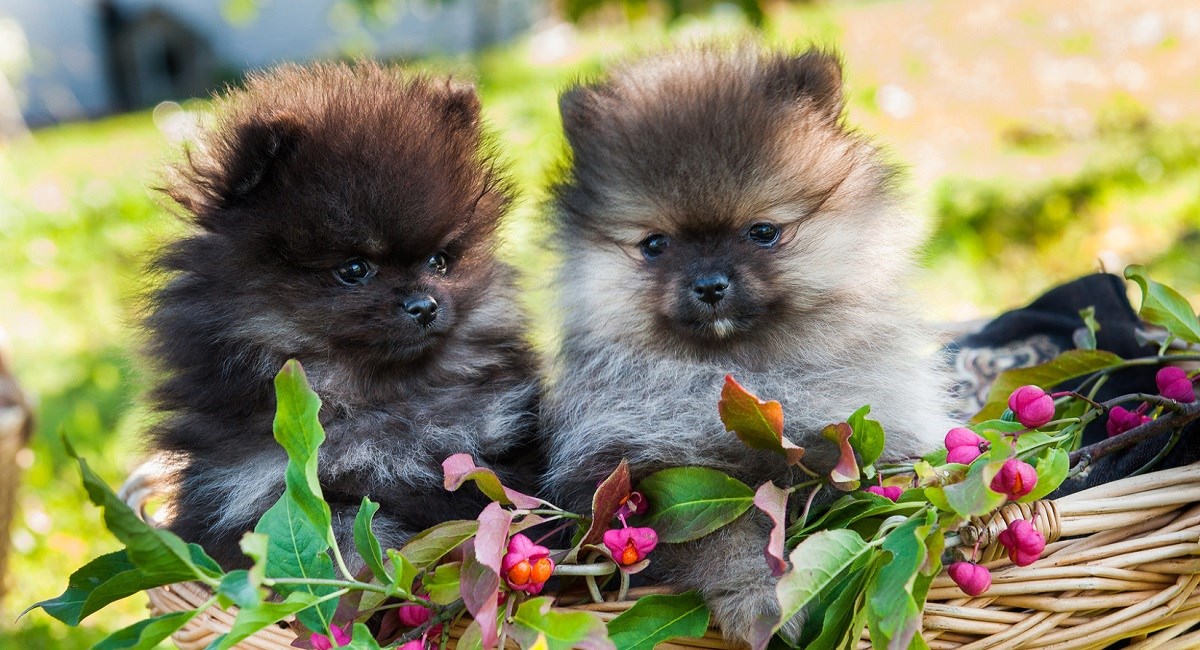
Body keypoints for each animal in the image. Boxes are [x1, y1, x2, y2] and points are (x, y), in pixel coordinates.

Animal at [148, 61, 540, 570]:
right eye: (354, 269)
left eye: (440, 261)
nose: (424, 305)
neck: (378, 401)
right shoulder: (255, 490)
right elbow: (346, 538)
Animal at [547, 43, 955, 642]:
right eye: (655, 245)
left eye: (762, 232)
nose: (709, 284)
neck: (735, 377)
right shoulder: (653, 478)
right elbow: (730, 537)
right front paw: (761, 600)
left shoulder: (846, 454)